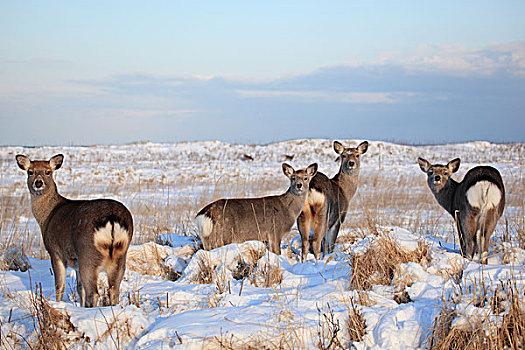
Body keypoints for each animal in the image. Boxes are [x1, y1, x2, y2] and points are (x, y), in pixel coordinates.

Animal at [15, 153, 133, 306]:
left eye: (48, 172)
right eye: (30, 171)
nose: (38, 183)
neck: (47, 217)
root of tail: (112, 218)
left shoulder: (55, 252)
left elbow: (60, 286)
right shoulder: (75, 262)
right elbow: (79, 288)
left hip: (88, 254)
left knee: (94, 293)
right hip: (120, 256)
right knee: (113, 290)